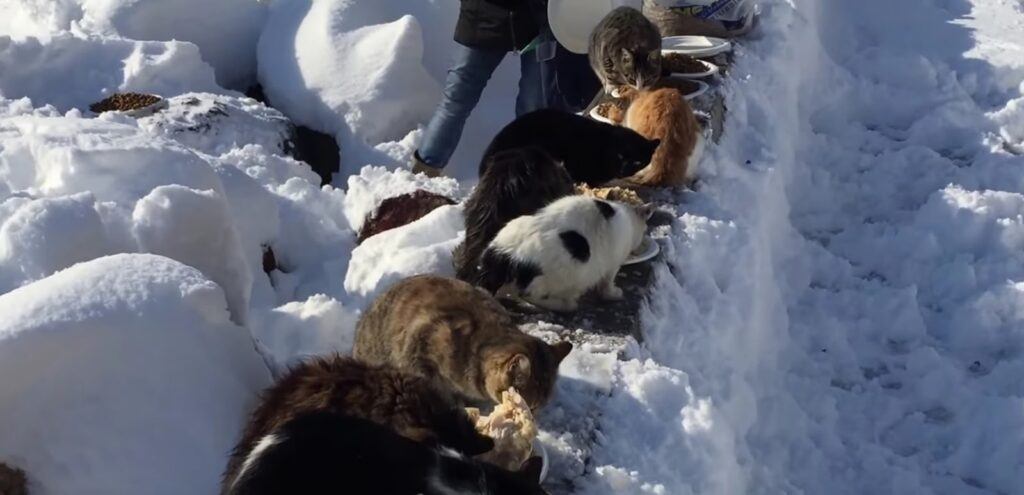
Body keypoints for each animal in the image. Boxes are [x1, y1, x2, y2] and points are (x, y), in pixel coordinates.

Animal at [477, 195, 651, 311]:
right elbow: (607, 284)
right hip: (564, 273)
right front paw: (613, 294)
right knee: (528, 295)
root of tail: (506, 253)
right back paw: (565, 305)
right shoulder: (612, 264)